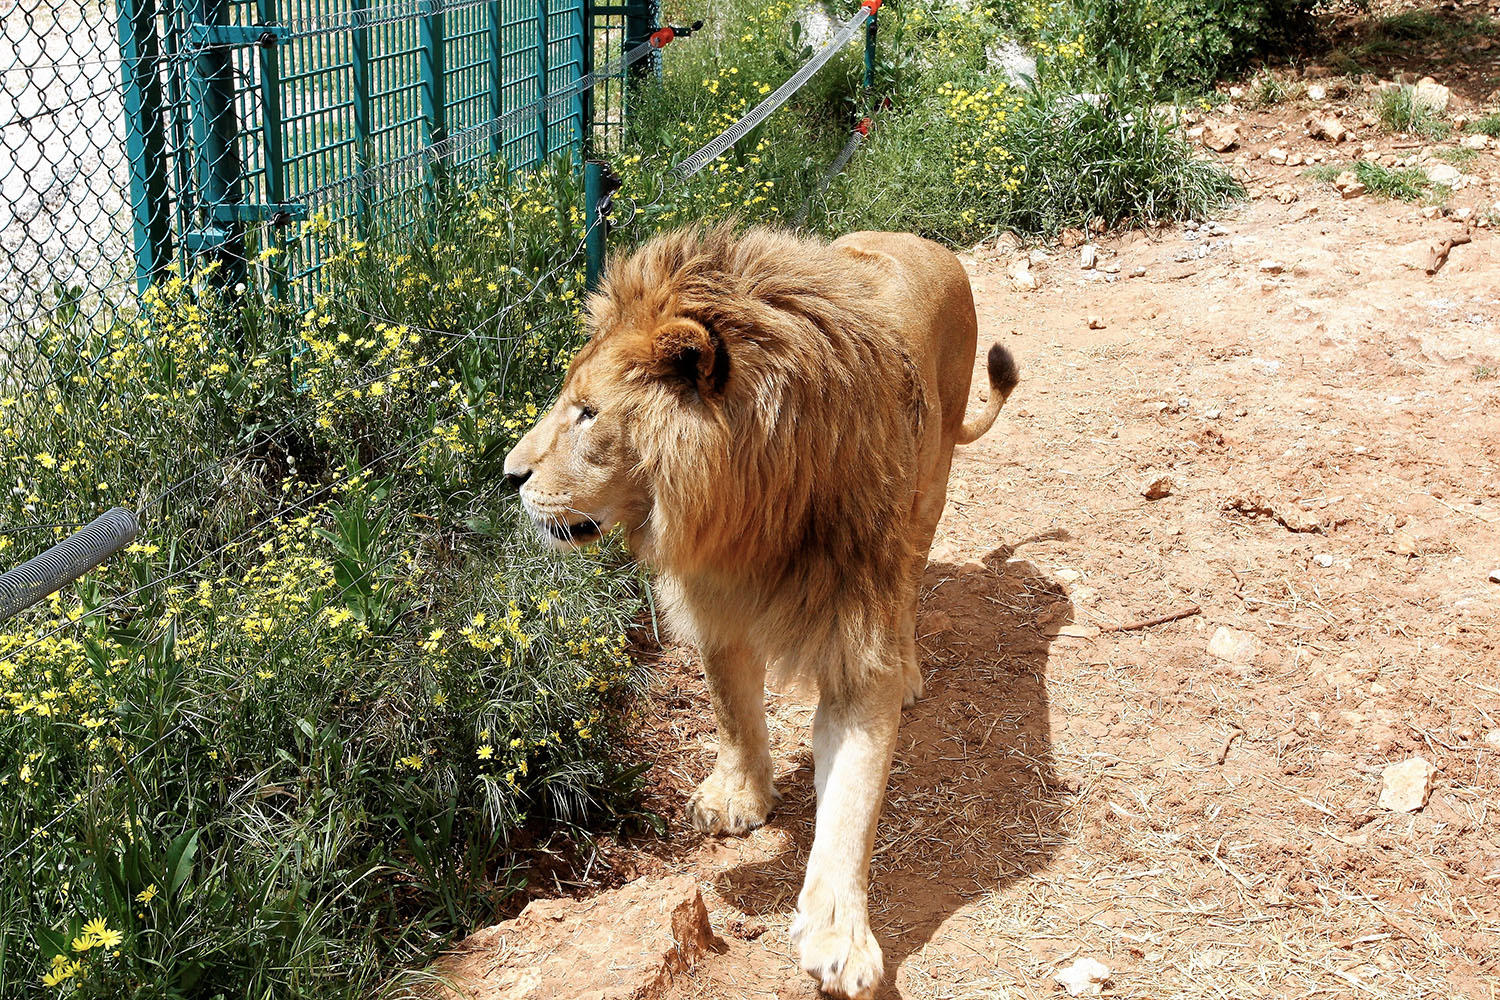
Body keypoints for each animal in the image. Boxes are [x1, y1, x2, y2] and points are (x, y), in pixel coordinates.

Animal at [507, 224, 1020, 1000]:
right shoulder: (714, 606)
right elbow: (733, 713)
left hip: (928, 493)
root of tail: (923, 240)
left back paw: (910, 669)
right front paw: (737, 798)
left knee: (910, 586)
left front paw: (841, 936)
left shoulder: (855, 642)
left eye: (589, 413)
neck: (747, 517)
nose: (508, 475)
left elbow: (851, 805)